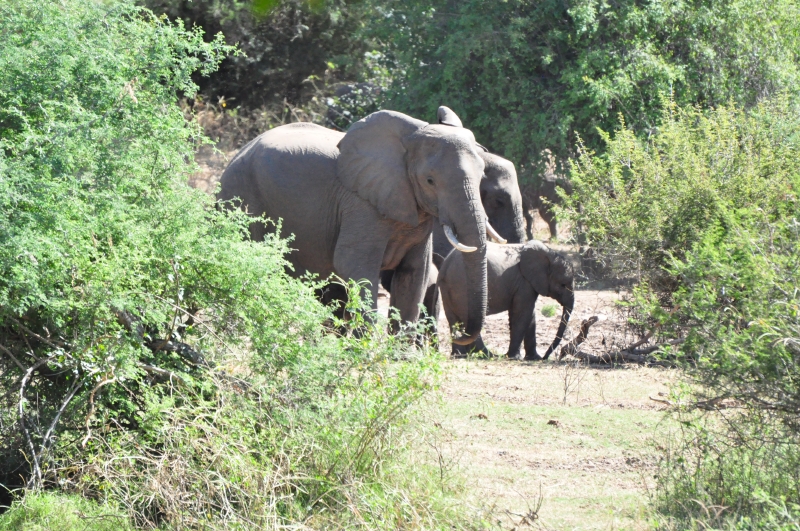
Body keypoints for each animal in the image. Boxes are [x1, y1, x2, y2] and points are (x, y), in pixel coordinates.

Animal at [217, 110, 492, 344]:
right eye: (430, 181)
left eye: (482, 177)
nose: (459, 334)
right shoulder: (359, 205)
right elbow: (354, 265)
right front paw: (364, 351)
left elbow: (415, 273)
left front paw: (399, 359)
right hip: (241, 196)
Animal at [438, 240, 574, 360]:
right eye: (563, 285)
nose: (546, 357)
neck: (549, 254)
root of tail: (446, 265)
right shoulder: (524, 282)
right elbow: (522, 313)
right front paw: (515, 357)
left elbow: (530, 315)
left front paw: (534, 358)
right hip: (462, 287)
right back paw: (486, 355)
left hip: (447, 288)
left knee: (453, 319)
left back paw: (460, 355)